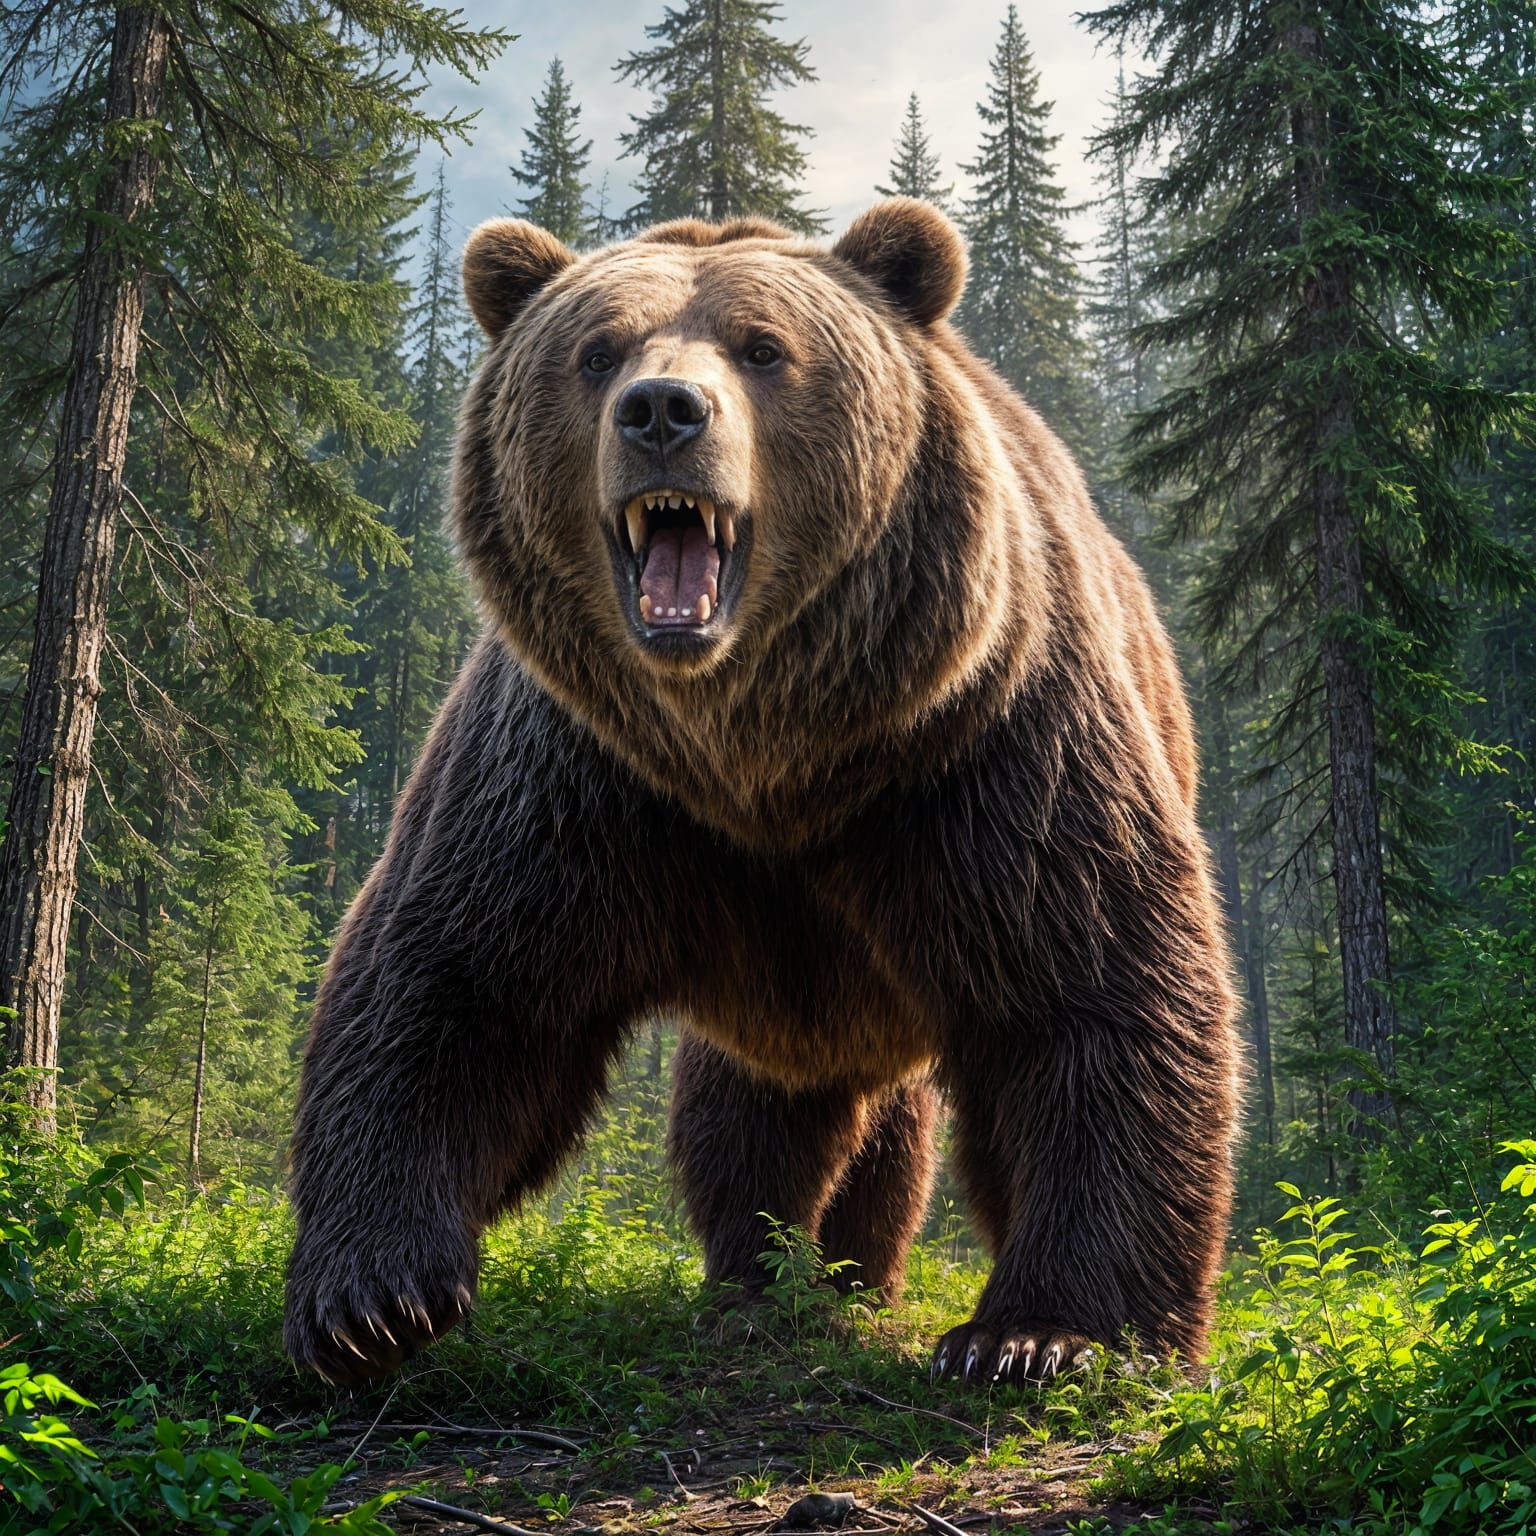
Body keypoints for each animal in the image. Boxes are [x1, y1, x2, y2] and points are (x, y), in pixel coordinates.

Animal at [282, 199, 1240, 1391]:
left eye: (764, 348)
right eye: (595, 352)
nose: (661, 410)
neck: (765, 752)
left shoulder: (986, 747)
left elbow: (1095, 990)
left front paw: (1039, 1335)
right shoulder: (576, 778)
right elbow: (451, 982)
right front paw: (370, 1297)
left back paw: (850, 1281)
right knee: (747, 1120)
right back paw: (760, 1281)